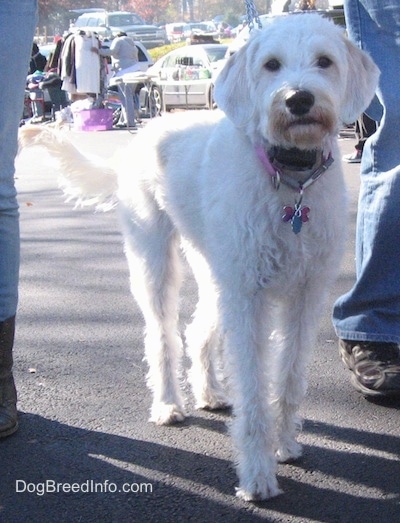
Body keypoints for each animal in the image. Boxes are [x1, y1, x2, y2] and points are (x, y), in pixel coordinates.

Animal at [20, 14, 380, 502]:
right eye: (271, 64)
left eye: (324, 61)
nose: (298, 99)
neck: (290, 182)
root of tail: (140, 137)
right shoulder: (248, 298)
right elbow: (253, 387)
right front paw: (257, 474)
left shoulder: (304, 297)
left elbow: (288, 378)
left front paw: (285, 444)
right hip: (156, 264)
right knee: (162, 337)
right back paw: (169, 404)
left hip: (214, 271)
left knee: (197, 331)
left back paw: (209, 392)